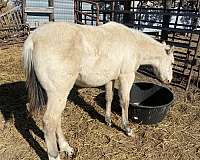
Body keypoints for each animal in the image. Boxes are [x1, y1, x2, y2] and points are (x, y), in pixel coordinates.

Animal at [22, 21, 174, 160]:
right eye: (172, 62)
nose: (169, 80)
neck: (135, 44)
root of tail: (33, 39)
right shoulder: (126, 76)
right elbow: (124, 102)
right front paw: (127, 129)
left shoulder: (110, 79)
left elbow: (109, 97)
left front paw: (108, 120)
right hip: (58, 94)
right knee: (49, 122)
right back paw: (56, 154)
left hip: (55, 95)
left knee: (56, 120)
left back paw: (66, 147)